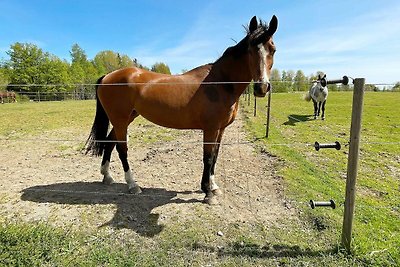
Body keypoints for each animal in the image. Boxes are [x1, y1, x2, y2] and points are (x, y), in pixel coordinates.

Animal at [85, 14, 278, 205]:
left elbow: (215, 156)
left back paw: (107, 176)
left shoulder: (221, 129)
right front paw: (207, 193)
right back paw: (133, 185)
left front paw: (214, 187)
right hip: (120, 120)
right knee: (122, 149)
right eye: (250, 50)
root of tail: (108, 76)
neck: (221, 82)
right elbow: (208, 157)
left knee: (109, 142)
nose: (261, 87)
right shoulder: (210, 129)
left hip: (126, 118)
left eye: (273, 50)